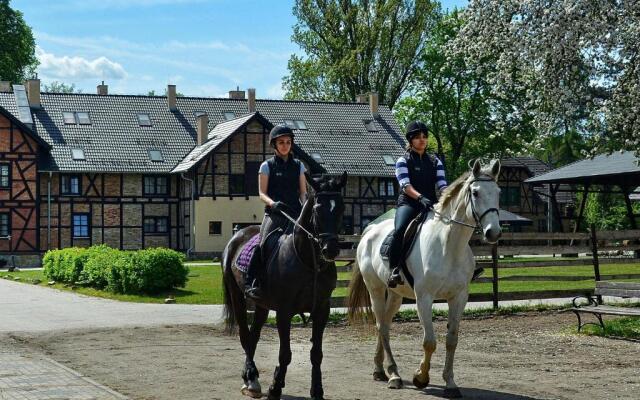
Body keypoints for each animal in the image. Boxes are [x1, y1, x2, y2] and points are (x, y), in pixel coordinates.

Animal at [224, 173, 348, 400]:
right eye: (317, 208)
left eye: (341, 208)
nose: (331, 249)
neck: (307, 260)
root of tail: (238, 234)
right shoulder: (284, 311)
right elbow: (285, 354)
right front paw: (275, 387)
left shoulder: (322, 309)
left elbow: (316, 354)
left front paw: (317, 390)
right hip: (237, 296)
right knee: (245, 336)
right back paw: (250, 379)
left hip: (261, 305)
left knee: (253, 336)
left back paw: (253, 378)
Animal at [348, 159, 502, 396]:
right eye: (475, 193)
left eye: (499, 192)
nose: (493, 232)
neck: (449, 246)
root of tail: (369, 231)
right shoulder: (424, 298)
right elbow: (429, 341)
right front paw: (421, 377)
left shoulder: (459, 298)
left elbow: (452, 339)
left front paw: (450, 384)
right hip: (375, 289)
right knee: (381, 327)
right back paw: (394, 375)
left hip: (395, 294)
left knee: (386, 324)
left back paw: (380, 370)